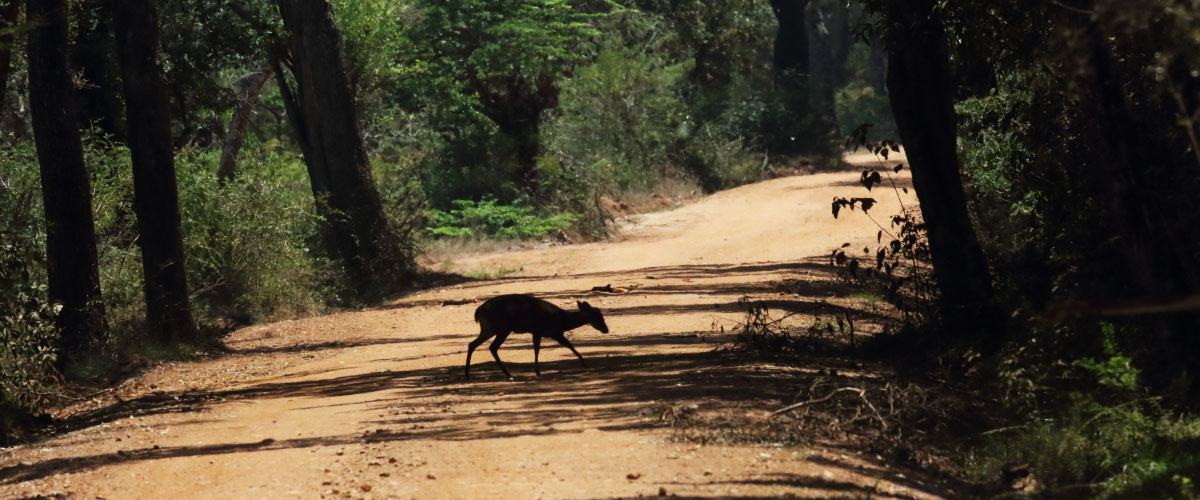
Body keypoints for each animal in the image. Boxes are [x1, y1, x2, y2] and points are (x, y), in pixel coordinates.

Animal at [460, 292, 609, 378]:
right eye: (597, 316)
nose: (606, 329)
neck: (563, 320)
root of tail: (479, 310)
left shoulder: (544, 332)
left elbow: (539, 348)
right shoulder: (550, 332)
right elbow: (566, 346)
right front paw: (584, 363)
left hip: (489, 328)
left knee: (473, 344)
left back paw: (467, 374)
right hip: (502, 328)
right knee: (492, 347)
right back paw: (507, 374)